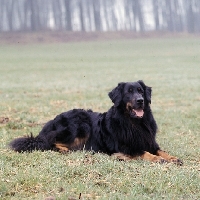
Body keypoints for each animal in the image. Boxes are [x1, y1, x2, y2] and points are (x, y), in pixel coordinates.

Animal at [9, 80, 183, 165]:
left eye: (140, 91)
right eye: (129, 92)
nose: (140, 101)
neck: (134, 123)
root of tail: (50, 122)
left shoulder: (150, 142)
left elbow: (161, 151)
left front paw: (173, 158)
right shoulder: (125, 147)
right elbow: (144, 153)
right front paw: (158, 160)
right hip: (81, 124)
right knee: (49, 142)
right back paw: (64, 149)